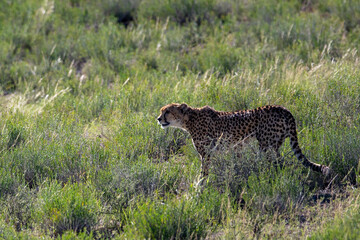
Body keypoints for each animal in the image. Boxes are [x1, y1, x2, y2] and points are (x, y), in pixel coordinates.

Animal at [156, 103, 330, 178]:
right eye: (162, 111)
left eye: (167, 112)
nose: (158, 119)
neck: (189, 119)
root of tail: (283, 109)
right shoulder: (231, 149)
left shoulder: (206, 154)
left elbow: (203, 173)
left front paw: (198, 190)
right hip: (274, 145)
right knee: (280, 163)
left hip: (266, 146)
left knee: (278, 164)